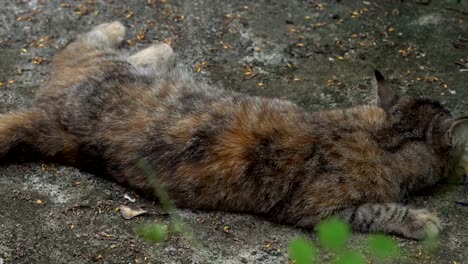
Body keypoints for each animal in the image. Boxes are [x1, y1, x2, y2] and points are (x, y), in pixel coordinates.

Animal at [1, 21, 466, 239]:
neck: (380, 136)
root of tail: (44, 112)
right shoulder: (320, 212)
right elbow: (379, 211)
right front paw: (420, 220)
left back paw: (155, 51)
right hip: (98, 66)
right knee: (78, 44)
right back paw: (129, 35)